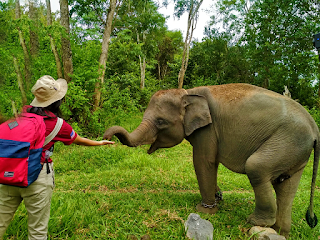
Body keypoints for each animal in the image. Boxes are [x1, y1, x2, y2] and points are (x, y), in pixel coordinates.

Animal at [104, 83, 318, 237]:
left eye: (160, 122)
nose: (106, 137)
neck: (187, 93)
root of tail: (315, 129)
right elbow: (211, 163)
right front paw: (217, 199)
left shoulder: (207, 129)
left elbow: (203, 161)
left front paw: (204, 211)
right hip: (295, 150)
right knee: (286, 187)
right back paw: (281, 231)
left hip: (287, 140)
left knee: (256, 168)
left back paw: (256, 222)